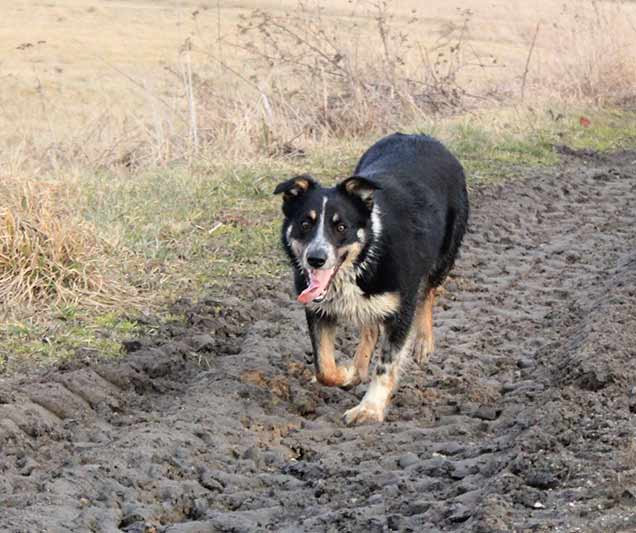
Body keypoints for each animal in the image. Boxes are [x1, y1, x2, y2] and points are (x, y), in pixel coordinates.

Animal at [274, 133, 469, 425]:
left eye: (341, 226)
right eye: (305, 223)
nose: (316, 259)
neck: (366, 255)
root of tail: (422, 136)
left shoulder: (401, 308)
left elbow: (386, 365)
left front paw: (370, 408)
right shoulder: (318, 309)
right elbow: (324, 367)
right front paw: (348, 373)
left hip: (445, 253)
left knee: (428, 293)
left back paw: (423, 342)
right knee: (371, 327)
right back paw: (358, 366)